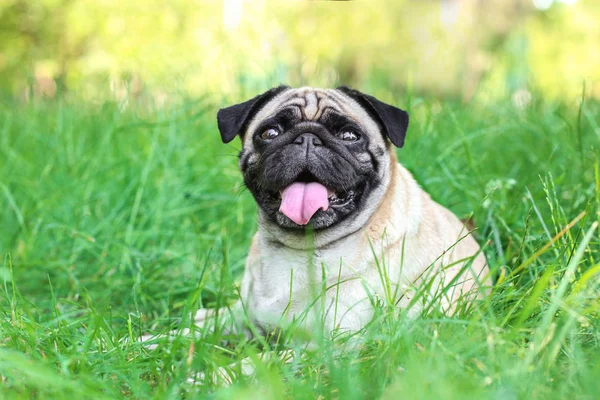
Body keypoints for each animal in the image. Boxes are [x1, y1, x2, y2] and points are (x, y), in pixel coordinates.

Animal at [198, 85, 492, 338]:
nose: (307, 138)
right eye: (270, 133)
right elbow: (199, 329)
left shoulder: (326, 347)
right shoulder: (242, 316)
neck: (301, 247)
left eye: (349, 136)